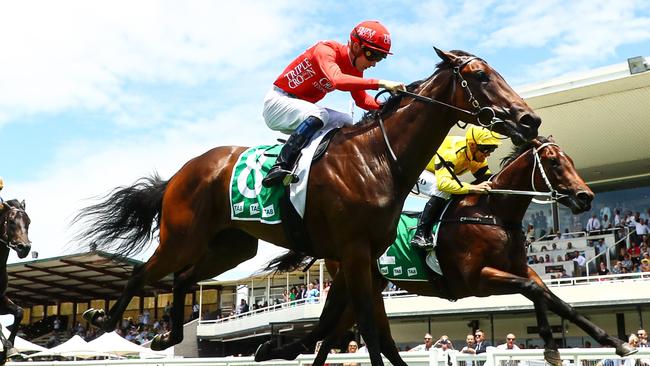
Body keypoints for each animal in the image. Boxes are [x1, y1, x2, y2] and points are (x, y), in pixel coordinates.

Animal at [71, 48, 540, 364]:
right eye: (479, 75)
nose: (529, 120)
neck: (378, 157)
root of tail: (182, 172)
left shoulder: (361, 256)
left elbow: (356, 327)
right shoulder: (353, 251)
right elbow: (368, 329)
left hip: (230, 247)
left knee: (184, 277)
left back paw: (164, 337)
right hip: (183, 237)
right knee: (142, 273)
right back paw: (102, 320)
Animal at [258, 137, 632, 366]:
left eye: (570, 160)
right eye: (554, 164)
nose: (585, 197)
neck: (493, 213)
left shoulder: (520, 268)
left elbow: (554, 300)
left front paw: (614, 342)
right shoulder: (477, 279)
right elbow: (535, 292)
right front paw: (553, 346)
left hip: (367, 284)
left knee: (343, 335)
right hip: (351, 279)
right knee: (334, 332)